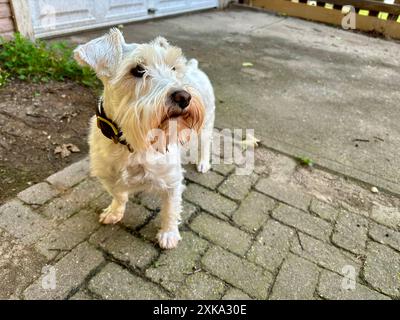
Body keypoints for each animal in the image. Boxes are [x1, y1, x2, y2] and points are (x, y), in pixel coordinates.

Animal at [73, 29, 214, 250]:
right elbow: (118, 194)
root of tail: (194, 67)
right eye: (138, 70)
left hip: (205, 126)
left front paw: (168, 234)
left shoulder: (172, 181)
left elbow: (171, 209)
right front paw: (114, 212)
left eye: (173, 68)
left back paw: (203, 163)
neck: (129, 142)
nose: (184, 97)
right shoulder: (107, 176)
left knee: (205, 145)